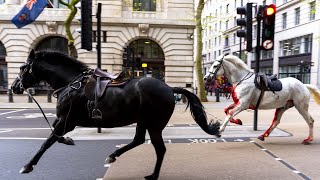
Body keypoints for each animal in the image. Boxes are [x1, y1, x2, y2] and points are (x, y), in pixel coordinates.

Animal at [10, 48, 220, 179]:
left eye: (22, 67)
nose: (14, 87)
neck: (71, 83)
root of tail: (169, 88)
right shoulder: (64, 121)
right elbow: (54, 136)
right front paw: (68, 140)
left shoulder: (67, 120)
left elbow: (47, 142)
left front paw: (28, 165)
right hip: (143, 121)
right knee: (138, 140)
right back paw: (114, 155)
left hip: (154, 124)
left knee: (159, 149)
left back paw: (153, 175)